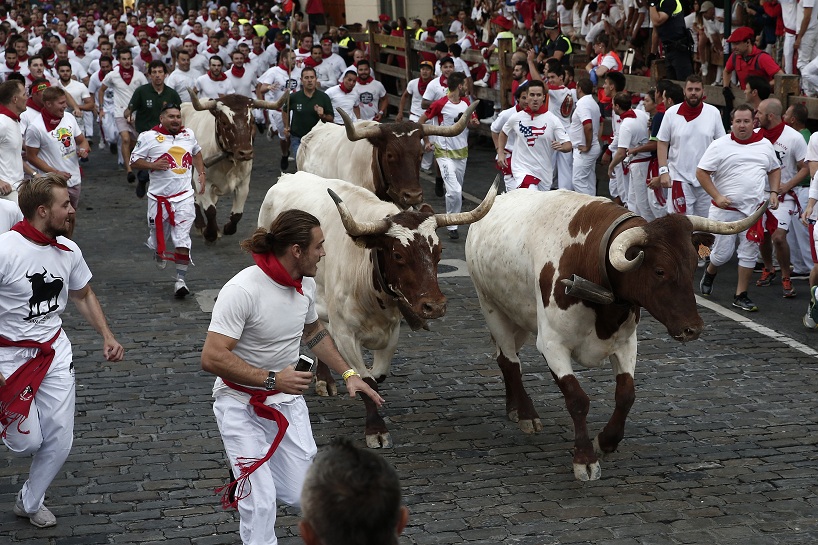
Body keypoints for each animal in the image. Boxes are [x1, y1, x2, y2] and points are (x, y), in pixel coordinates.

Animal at [181, 88, 287, 243]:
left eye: (252, 121)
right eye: (224, 122)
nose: (246, 153)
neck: (228, 161)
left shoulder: (243, 184)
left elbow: (237, 214)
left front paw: (226, 229)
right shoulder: (203, 182)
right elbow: (210, 210)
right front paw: (210, 233)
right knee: (195, 199)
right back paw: (200, 225)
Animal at [258, 173, 498, 447]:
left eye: (439, 251)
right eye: (398, 254)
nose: (435, 306)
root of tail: (288, 176)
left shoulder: (392, 330)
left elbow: (378, 375)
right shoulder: (345, 333)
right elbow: (365, 378)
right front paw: (376, 429)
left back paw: (324, 378)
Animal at [465, 189, 768, 481]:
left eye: (694, 265)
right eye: (660, 270)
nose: (692, 328)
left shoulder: (626, 342)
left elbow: (626, 395)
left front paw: (606, 441)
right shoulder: (552, 344)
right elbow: (577, 399)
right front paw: (584, 460)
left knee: (507, 358)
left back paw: (514, 408)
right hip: (491, 307)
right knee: (509, 361)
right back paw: (526, 414)